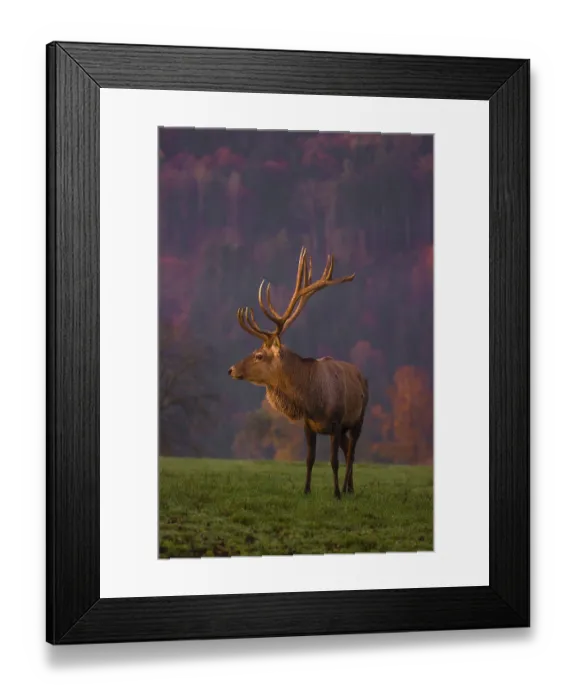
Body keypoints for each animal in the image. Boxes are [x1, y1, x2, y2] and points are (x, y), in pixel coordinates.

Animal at [228, 247, 369, 499]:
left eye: (259, 355)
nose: (231, 369)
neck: (313, 400)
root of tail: (362, 375)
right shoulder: (308, 424)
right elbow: (309, 459)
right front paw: (306, 490)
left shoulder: (336, 422)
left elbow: (332, 461)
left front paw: (335, 493)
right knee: (348, 451)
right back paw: (350, 487)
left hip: (358, 419)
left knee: (351, 453)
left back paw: (346, 488)